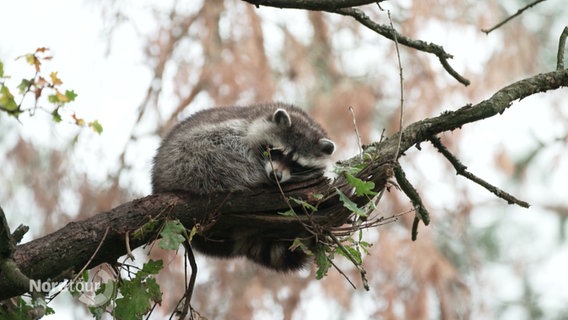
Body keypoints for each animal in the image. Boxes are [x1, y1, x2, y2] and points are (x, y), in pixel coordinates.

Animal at [152, 102, 338, 270]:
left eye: (296, 164)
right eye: (276, 151)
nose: (275, 176)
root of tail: (158, 182)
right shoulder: (241, 125)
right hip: (188, 157)